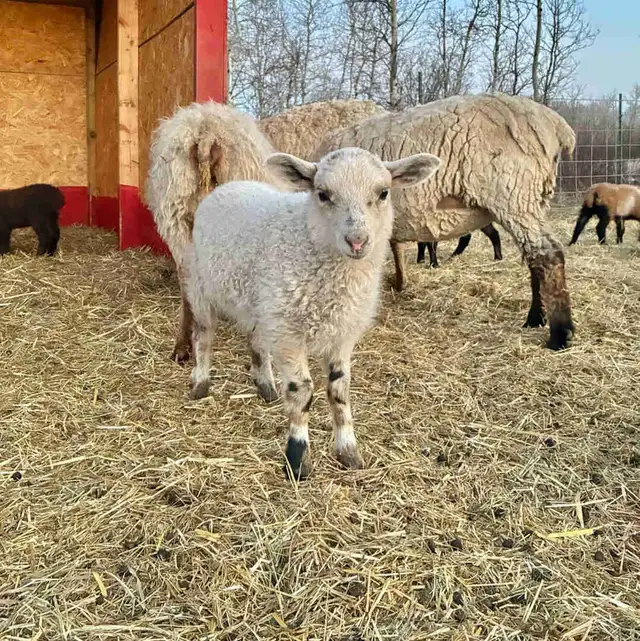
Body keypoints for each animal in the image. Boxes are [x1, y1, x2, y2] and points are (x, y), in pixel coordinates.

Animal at [184, 147, 441, 479]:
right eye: (322, 194)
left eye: (384, 192)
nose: (357, 241)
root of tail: (230, 185)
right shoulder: (289, 333)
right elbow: (301, 392)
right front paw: (297, 458)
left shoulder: (342, 333)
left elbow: (339, 389)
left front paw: (348, 451)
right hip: (202, 286)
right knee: (203, 335)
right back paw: (201, 382)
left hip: (261, 304)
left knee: (255, 339)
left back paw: (265, 386)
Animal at [314, 93, 576, 350]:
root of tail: (555, 125)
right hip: (532, 201)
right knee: (534, 259)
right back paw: (536, 318)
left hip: (515, 194)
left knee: (548, 255)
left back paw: (560, 334)